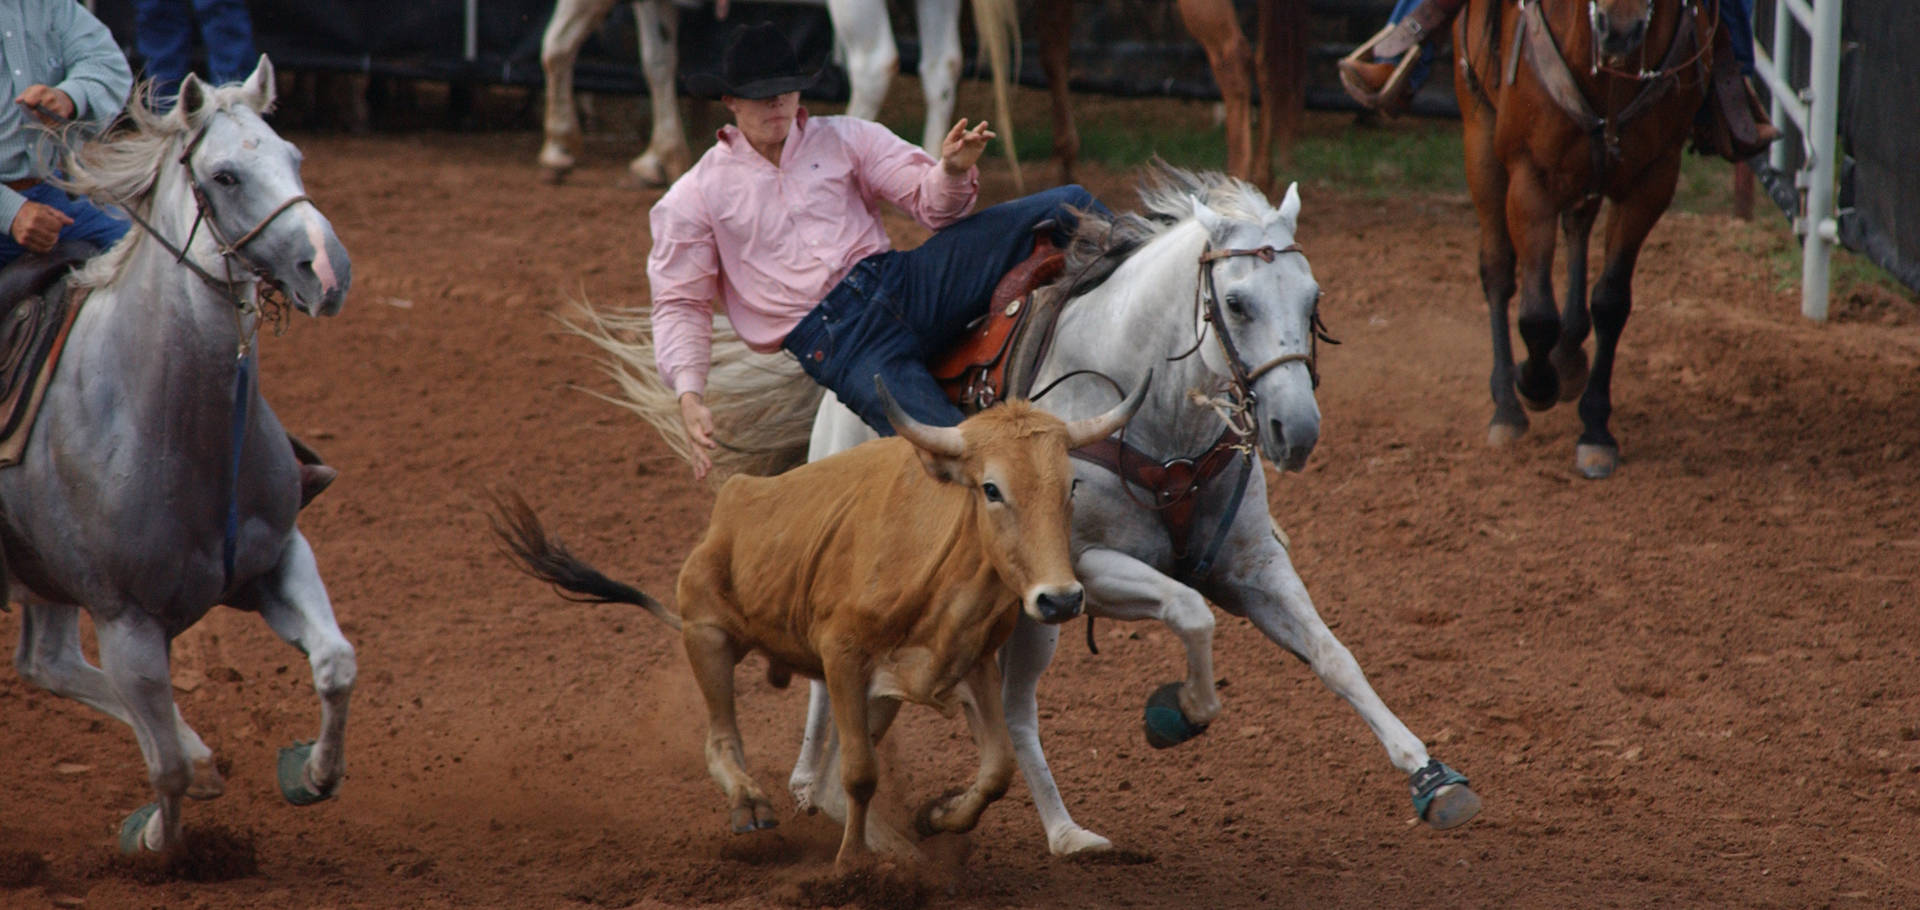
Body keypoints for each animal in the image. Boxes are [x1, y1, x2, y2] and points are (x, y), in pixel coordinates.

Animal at [0, 56, 359, 852]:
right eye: (225, 175)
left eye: (294, 156)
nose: (328, 269)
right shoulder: (126, 622)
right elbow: (162, 765)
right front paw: (155, 840)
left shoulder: (279, 558)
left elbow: (336, 665)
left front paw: (311, 775)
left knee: (47, 663)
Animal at [537, 0, 1021, 188]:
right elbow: (660, 62)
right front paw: (659, 155)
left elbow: (557, 47)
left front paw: (558, 145)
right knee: (942, 66)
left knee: (874, 63)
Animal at [1044, 0, 1313, 187]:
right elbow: (1056, 52)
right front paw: (1066, 163)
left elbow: (1052, 55)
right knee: (1267, 62)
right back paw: (1263, 179)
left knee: (1233, 58)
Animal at [1459, 0, 1720, 479]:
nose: (1619, 32)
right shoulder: (1530, 176)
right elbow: (1536, 313)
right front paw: (1534, 385)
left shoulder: (1652, 182)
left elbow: (1611, 301)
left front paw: (1596, 429)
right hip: (1479, 135)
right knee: (1498, 269)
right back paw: (1507, 403)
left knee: (1578, 227)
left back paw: (1568, 356)